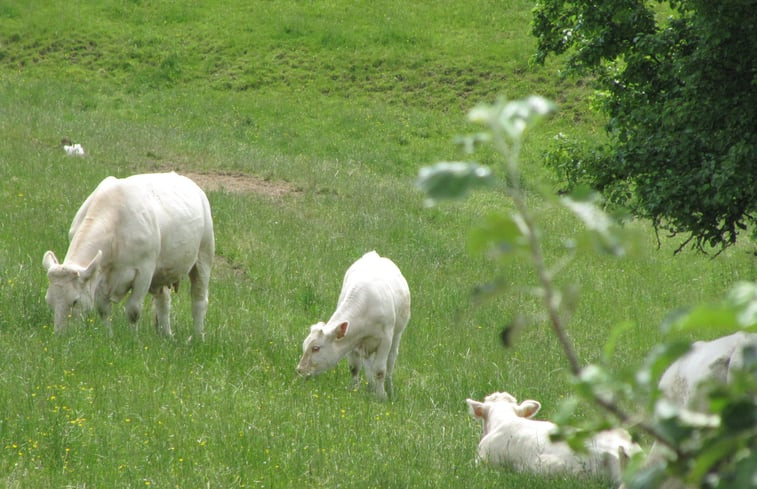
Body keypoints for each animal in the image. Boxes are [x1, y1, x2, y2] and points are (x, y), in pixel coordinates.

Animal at [42, 173, 214, 340]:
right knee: (164, 302)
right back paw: (166, 335)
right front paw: (109, 338)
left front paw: (133, 340)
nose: (61, 336)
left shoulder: (144, 271)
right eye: (49, 301)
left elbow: (133, 310)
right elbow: (103, 309)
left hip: (204, 254)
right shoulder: (101, 276)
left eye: (75, 301)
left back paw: (198, 337)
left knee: (199, 299)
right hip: (162, 272)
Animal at [296, 252, 414, 400]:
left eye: (316, 348)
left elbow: (380, 370)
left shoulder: (385, 340)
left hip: (397, 335)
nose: (300, 370)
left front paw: (382, 396)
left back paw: (388, 388)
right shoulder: (352, 340)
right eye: (304, 345)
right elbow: (354, 368)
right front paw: (354, 390)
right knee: (368, 363)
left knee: (390, 361)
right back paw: (370, 386)